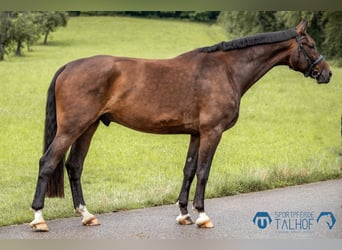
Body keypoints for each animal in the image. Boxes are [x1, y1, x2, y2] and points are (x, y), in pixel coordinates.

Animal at [30, 20, 332, 231]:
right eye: (311, 45)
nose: (327, 73)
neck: (227, 70)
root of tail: (69, 66)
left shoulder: (196, 133)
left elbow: (188, 170)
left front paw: (184, 214)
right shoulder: (212, 132)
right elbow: (203, 172)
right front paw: (202, 215)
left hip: (88, 127)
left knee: (74, 166)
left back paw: (87, 215)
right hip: (71, 128)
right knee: (48, 162)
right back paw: (39, 218)